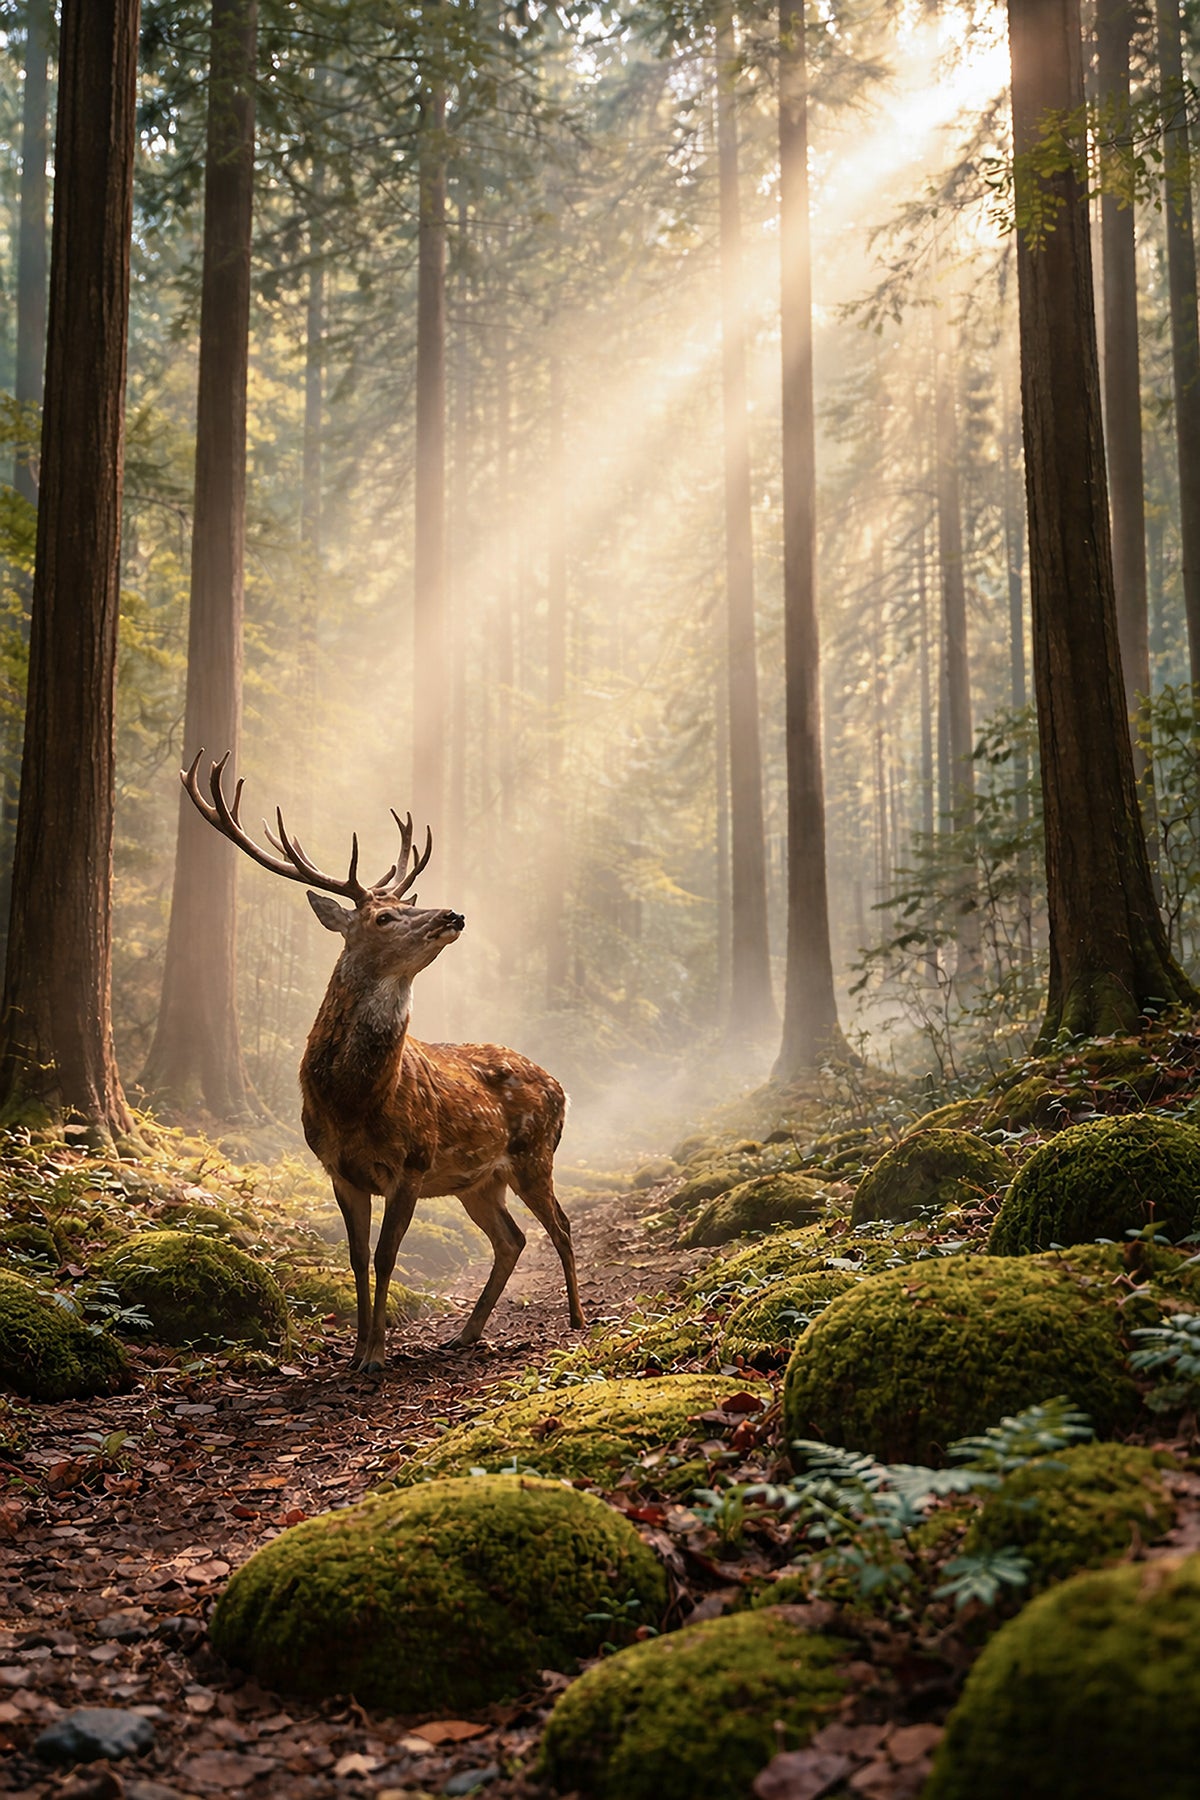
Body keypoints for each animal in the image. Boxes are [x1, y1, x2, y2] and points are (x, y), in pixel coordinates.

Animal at [181, 751, 585, 1374]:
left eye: (403, 906)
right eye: (382, 919)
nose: (452, 913)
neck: (353, 1102)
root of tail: (561, 1084)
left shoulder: (410, 1165)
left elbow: (387, 1255)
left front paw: (375, 1355)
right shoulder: (337, 1169)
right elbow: (354, 1255)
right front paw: (354, 1351)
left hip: (534, 1152)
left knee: (560, 1227)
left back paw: (578, 1320)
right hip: (478, 1179)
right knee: (512, 1239)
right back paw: (465, 1334)